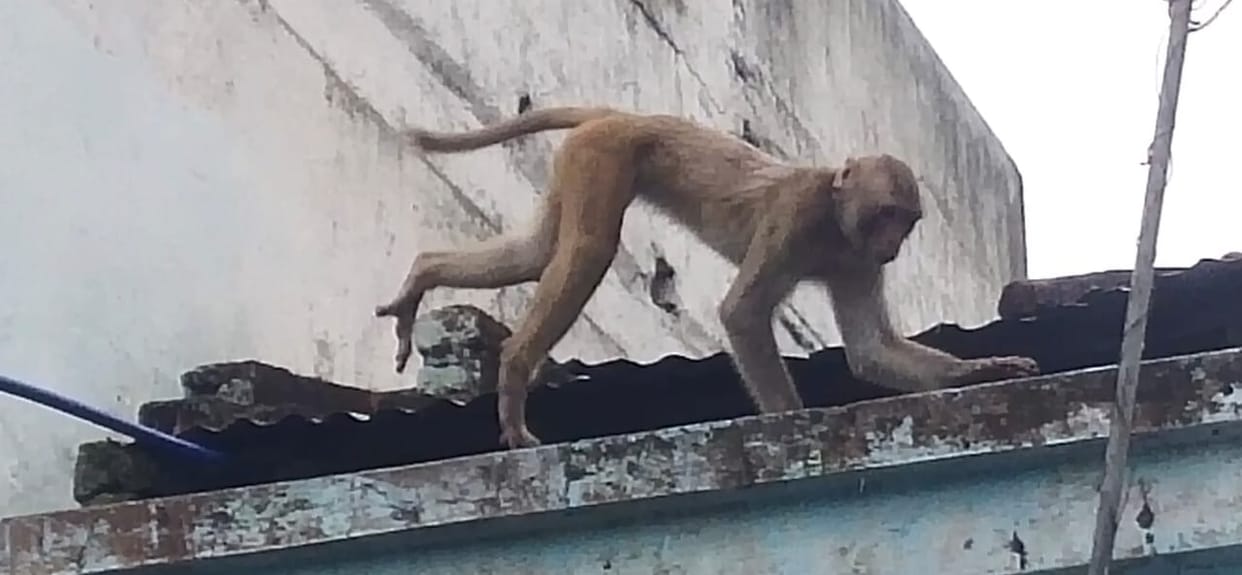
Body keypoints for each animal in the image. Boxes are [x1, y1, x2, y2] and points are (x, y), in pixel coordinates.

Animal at [375, 106, 1041, 449]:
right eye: (886, 216)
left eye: (905, 222)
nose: (892, 244)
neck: (835, 218)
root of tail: (627, 115)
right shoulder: (794, 218)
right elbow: (742, 313)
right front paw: (787, 420)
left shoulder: (856, 262)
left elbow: (871, 350)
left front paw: (981, 370)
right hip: (603, 155)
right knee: (586, 250)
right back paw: (514, 368)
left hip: (580, 160)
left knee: (537, 253)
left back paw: (425, 274)